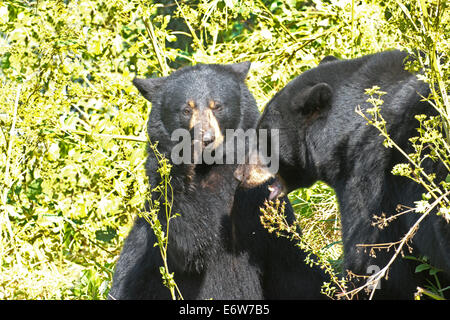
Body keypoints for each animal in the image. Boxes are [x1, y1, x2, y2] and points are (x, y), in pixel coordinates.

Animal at [109, 62, 326, 300]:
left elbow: (291, 258)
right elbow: (190, 240)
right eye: (186, 110)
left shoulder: (258, 197)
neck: (211, 164)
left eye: (217, 106)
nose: (206, 139)